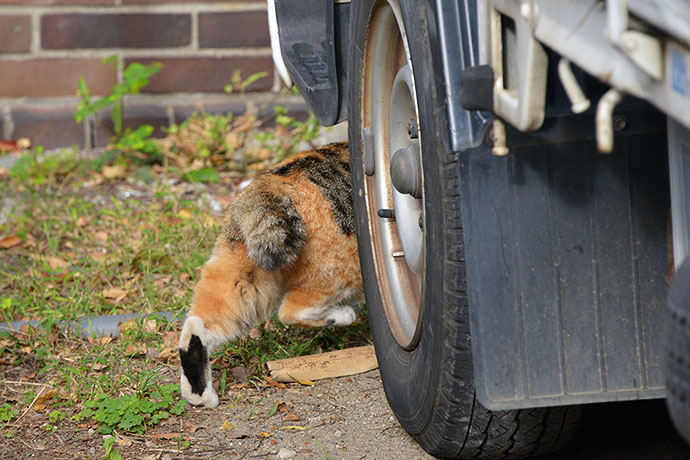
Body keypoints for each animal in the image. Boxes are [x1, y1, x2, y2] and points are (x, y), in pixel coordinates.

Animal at [177, 142, 362, 408]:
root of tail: (272, 184)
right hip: (341, 271)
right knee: (291, 310)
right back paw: (342, 315)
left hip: (247, 275)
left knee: (199, 323)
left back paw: (199, 395)